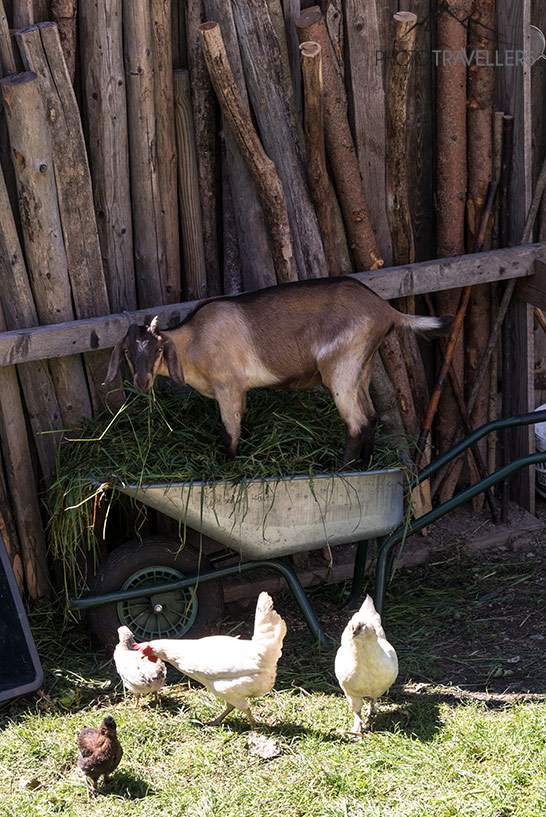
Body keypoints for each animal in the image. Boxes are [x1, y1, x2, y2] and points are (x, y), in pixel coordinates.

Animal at [103, 278, 450, 466]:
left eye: (158, 350)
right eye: (127, 352)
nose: (141, 382)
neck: (194, 338)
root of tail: (385, 310)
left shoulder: (227, 387)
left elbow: (228, 432)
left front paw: (227, 469)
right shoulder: (239, 391)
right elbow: (241, 424)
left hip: (340, 368)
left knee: (357, 422)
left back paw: (341, 470)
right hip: (360, 369)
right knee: (372, 416)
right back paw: (365, 464)